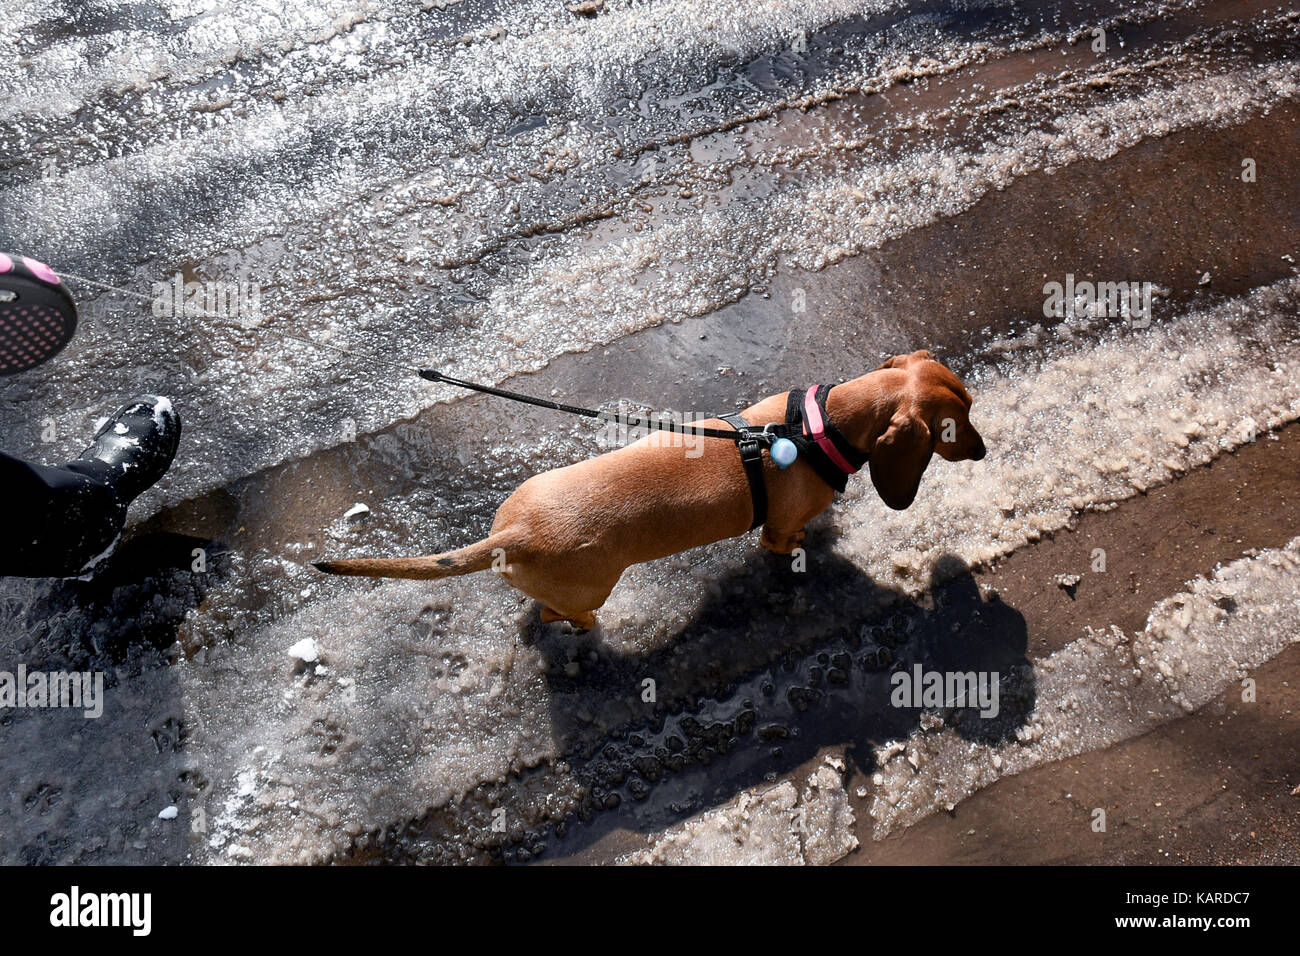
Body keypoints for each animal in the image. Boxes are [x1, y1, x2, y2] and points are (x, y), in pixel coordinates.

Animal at [317, 351, 982, 629]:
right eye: (953, 428)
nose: (982, 451)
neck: (818, 426)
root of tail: (517, 532)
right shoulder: (776, 530)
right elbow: (785, 541)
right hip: (593, 592)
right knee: (567, 613)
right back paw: (571, 626)